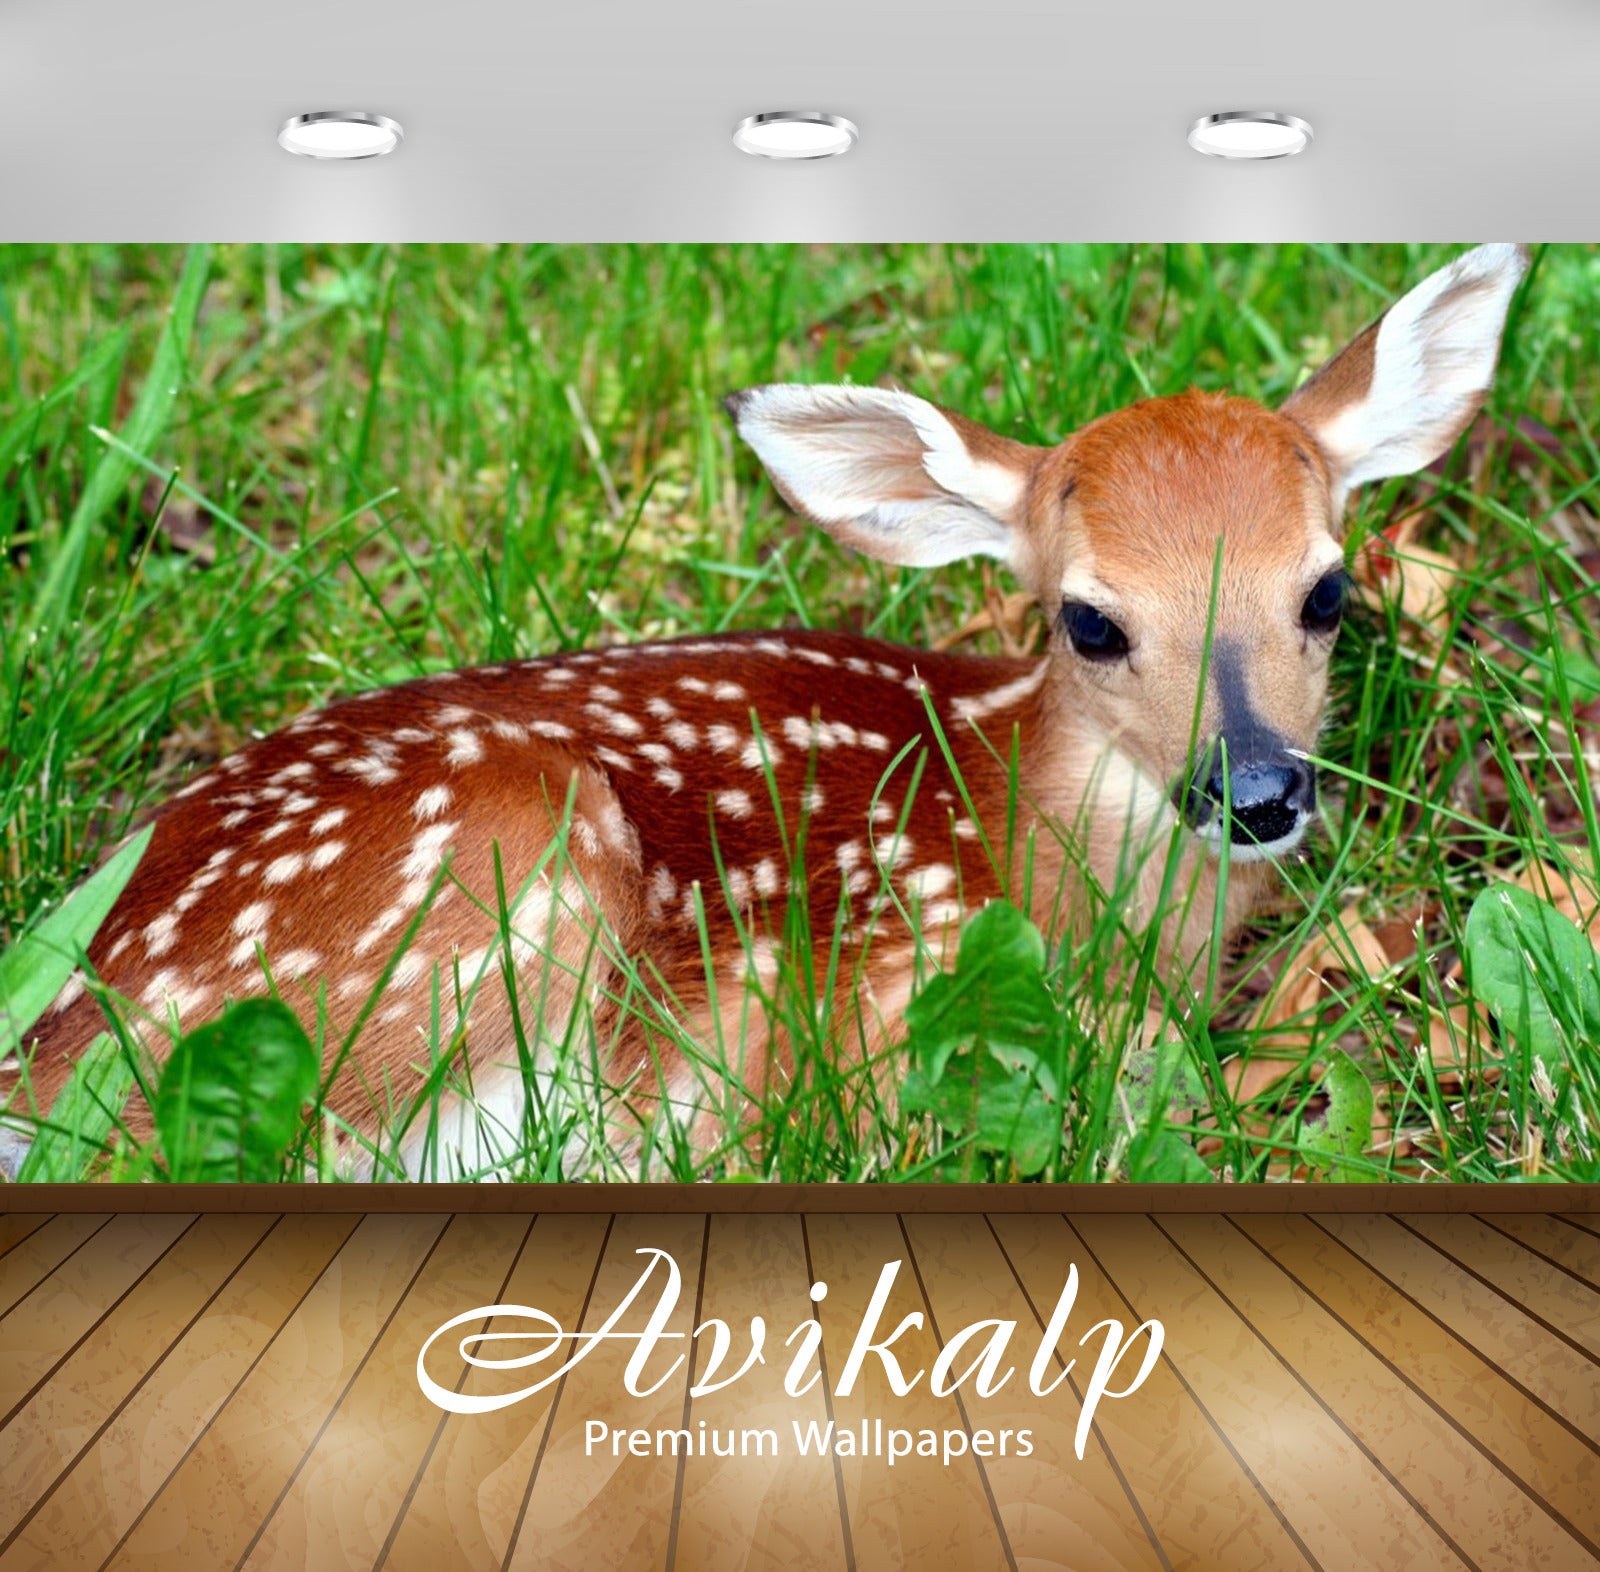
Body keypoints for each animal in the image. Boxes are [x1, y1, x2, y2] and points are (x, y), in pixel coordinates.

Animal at [5, 243, 1526, 1181]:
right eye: (1091, 622)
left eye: (1327, 592)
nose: (1255, 793)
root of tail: (43, 1056)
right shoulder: (882, 994)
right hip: (484, 874)